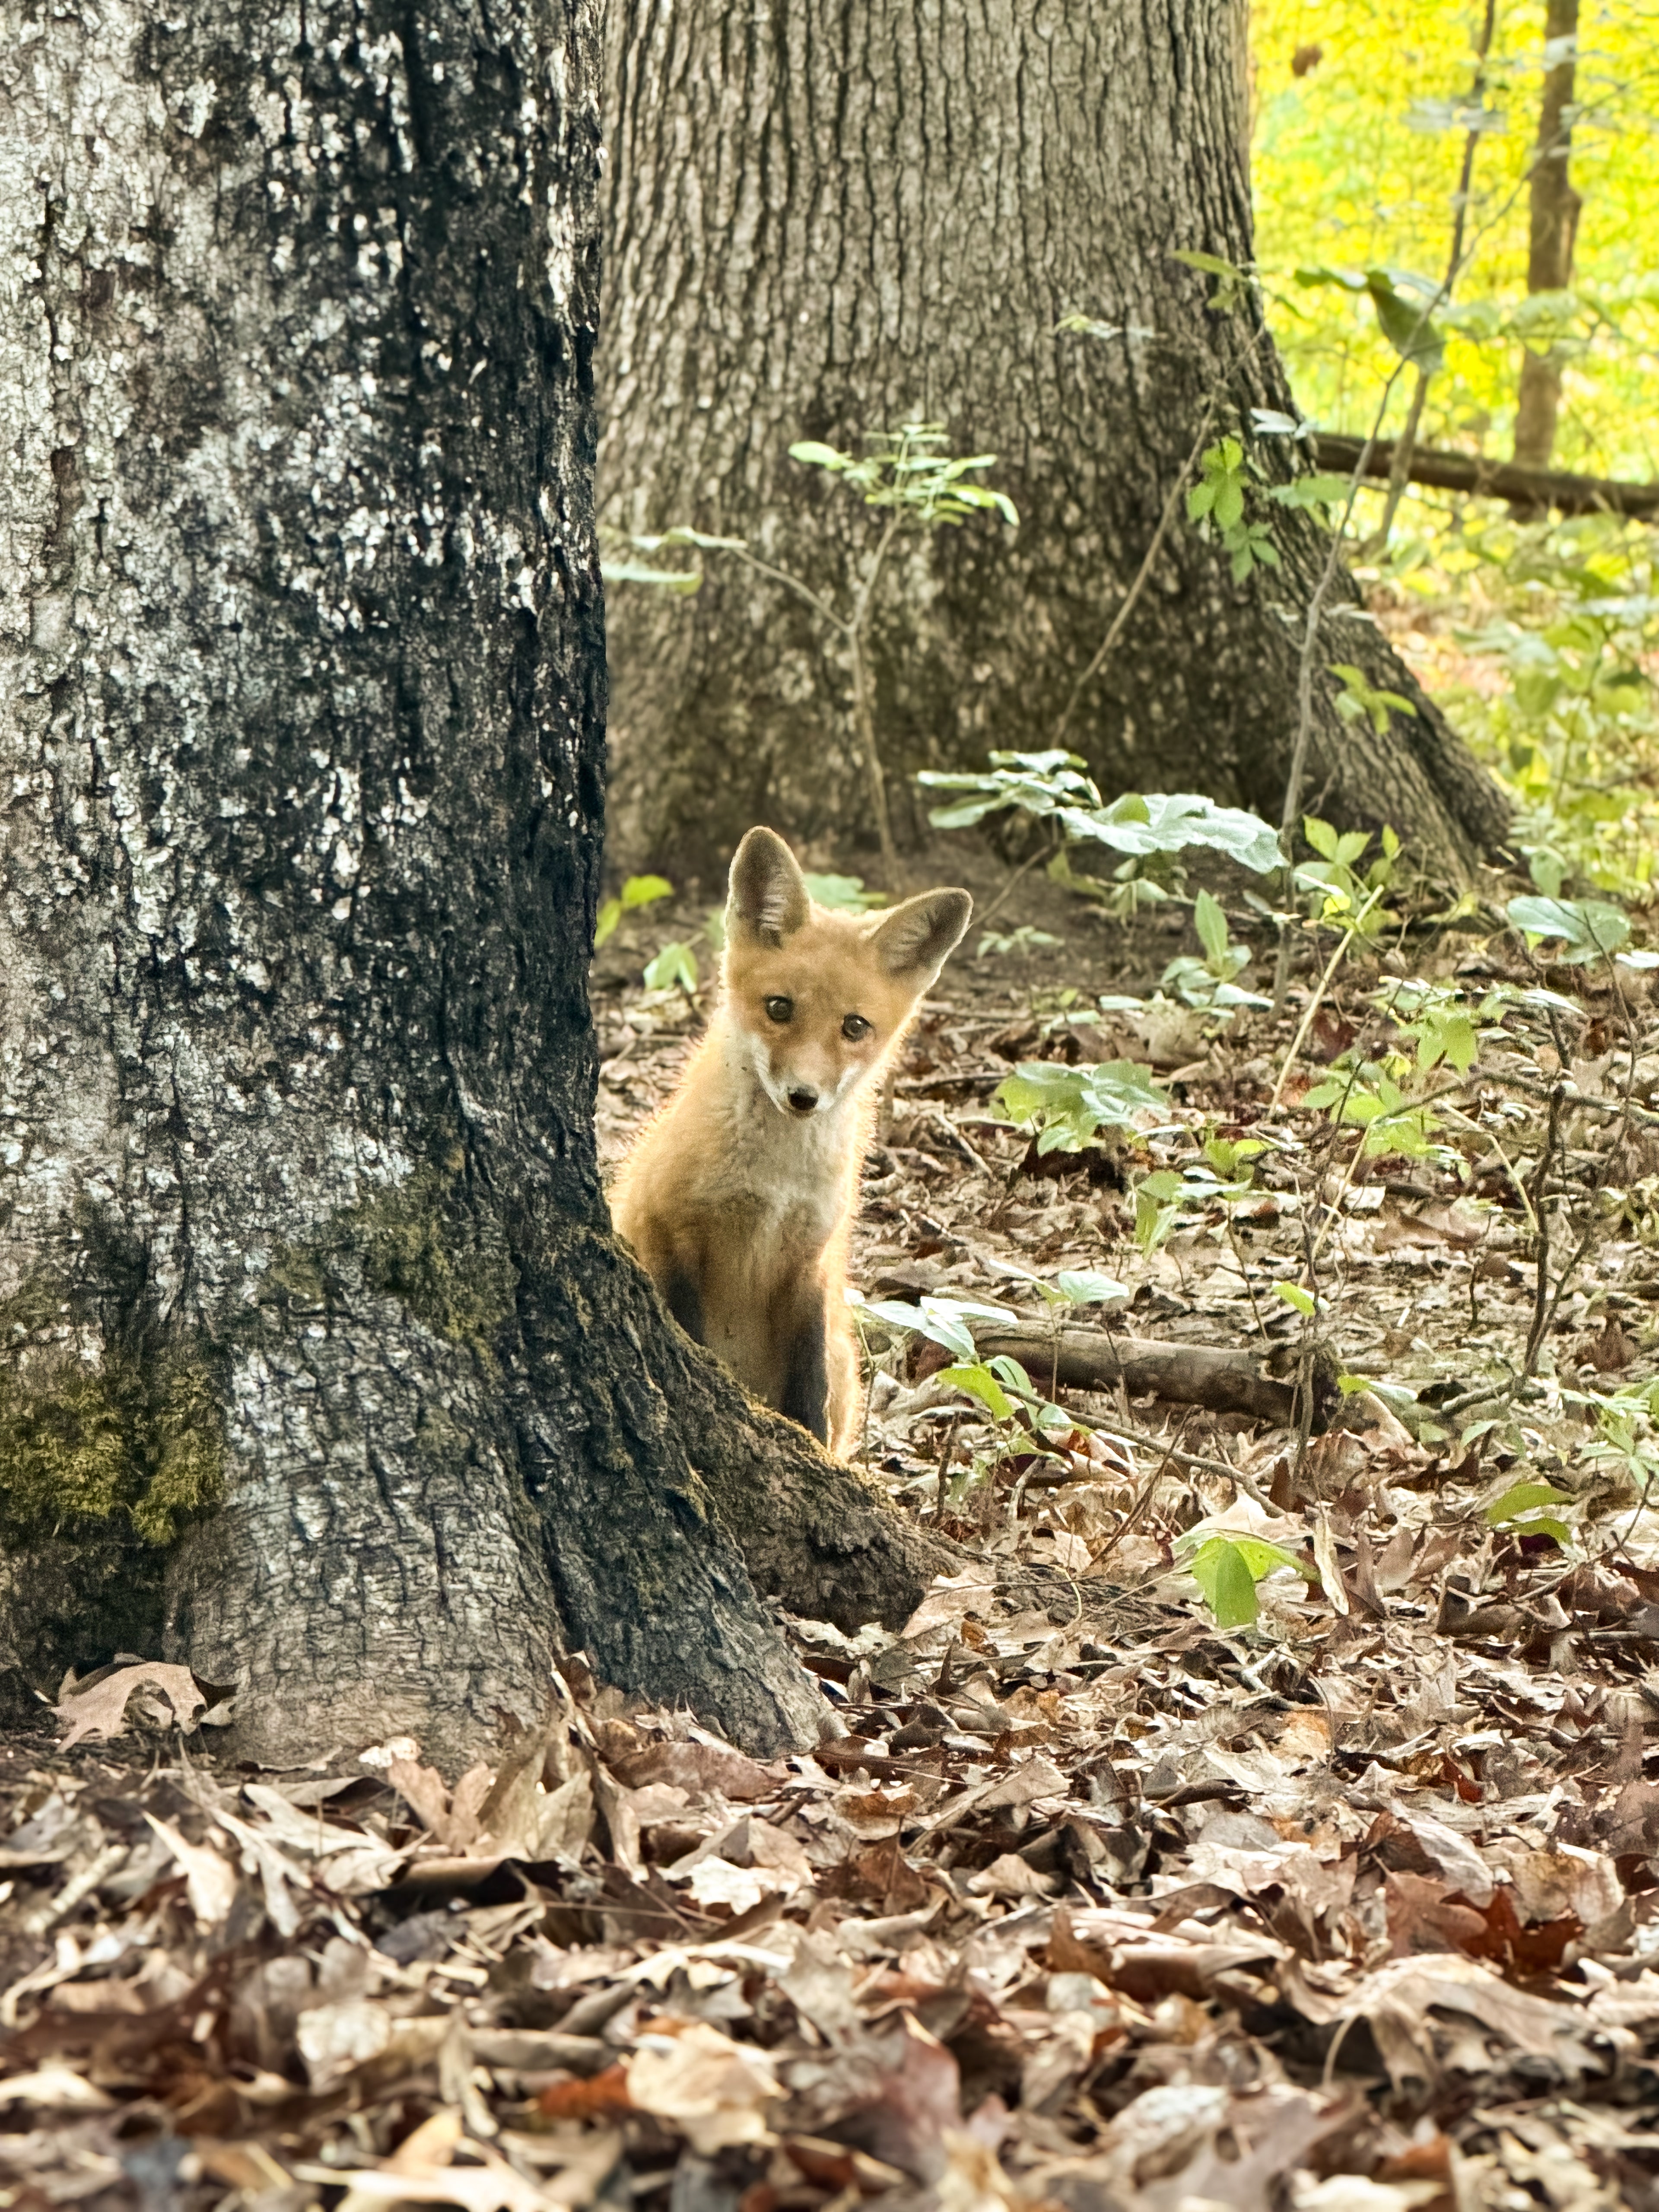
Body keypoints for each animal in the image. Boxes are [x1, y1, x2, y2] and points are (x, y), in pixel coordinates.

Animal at [610, 826, 972, 1456]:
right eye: (779, 1007)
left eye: (854, 1026)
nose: (804, 1097)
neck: (771, 1184)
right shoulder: (668, 1231)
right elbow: (691, 1334)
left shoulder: (811, 1265)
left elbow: (810, 1392)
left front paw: (812, 1448)